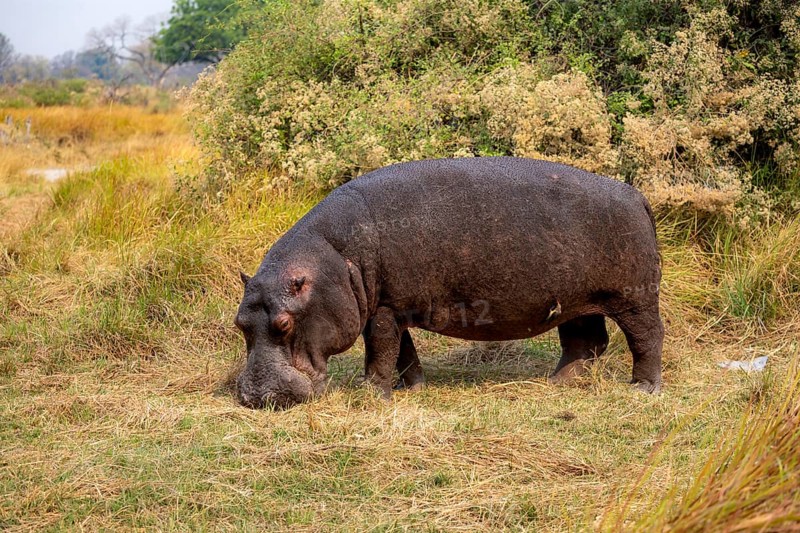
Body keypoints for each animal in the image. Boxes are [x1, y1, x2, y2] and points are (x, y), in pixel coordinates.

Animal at [235, 157, 663, 409]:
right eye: (240, 324)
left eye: (284, 324)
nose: (255, 396)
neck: (333, 259)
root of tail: (637, 195)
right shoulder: (387, 306)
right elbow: (402, 352)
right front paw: (412, 388)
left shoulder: (385, 310)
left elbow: (381, 352)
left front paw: (371, 394)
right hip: (576, 300)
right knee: (586, 341)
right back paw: (557, 383)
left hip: (634, 298)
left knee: (646, 337)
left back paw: (642, 388)